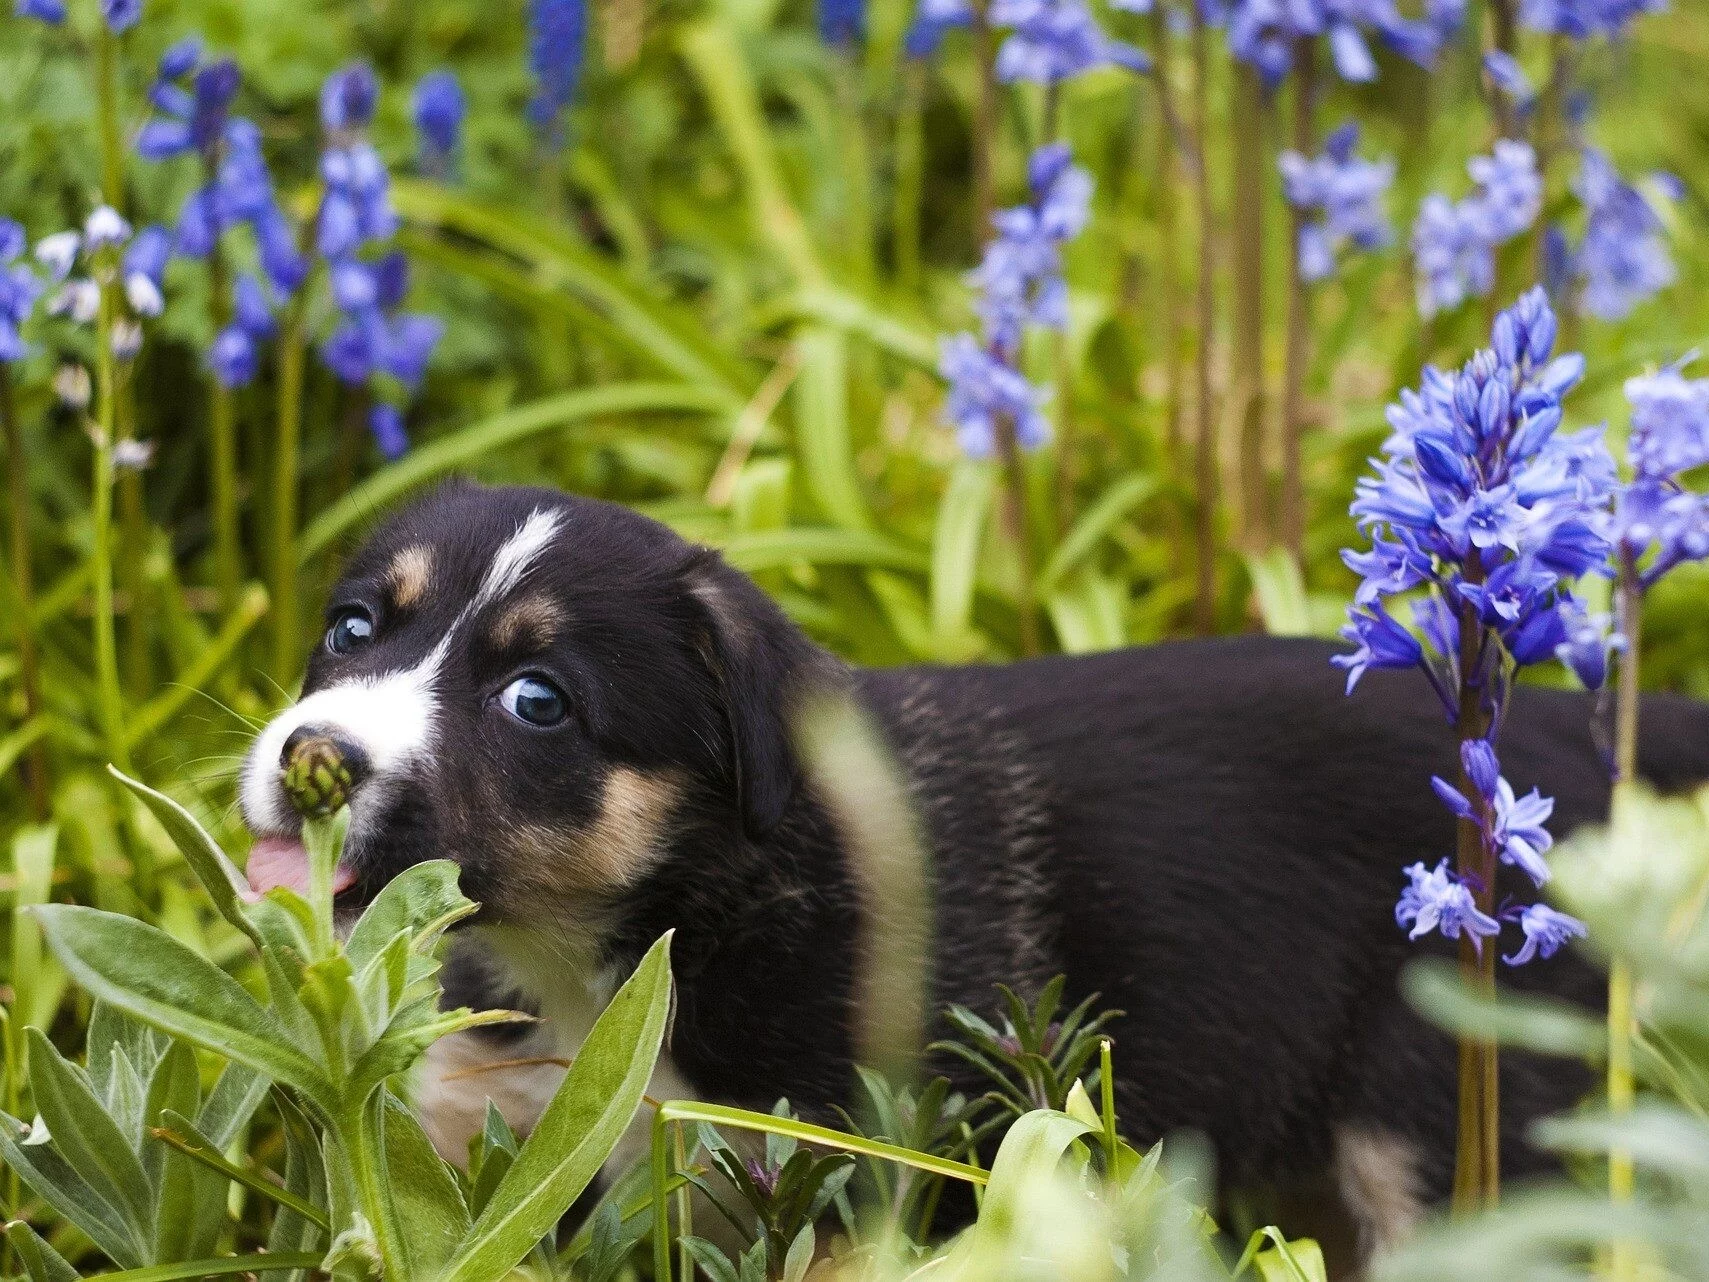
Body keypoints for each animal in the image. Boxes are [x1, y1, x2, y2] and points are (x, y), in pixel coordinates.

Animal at [240, 478, 1709, 1264]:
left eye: (538, 701)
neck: (630, 944)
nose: (310, 756)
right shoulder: (474, 1151)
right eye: (354, 627)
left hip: (1449, 1121)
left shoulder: (838, 1181)